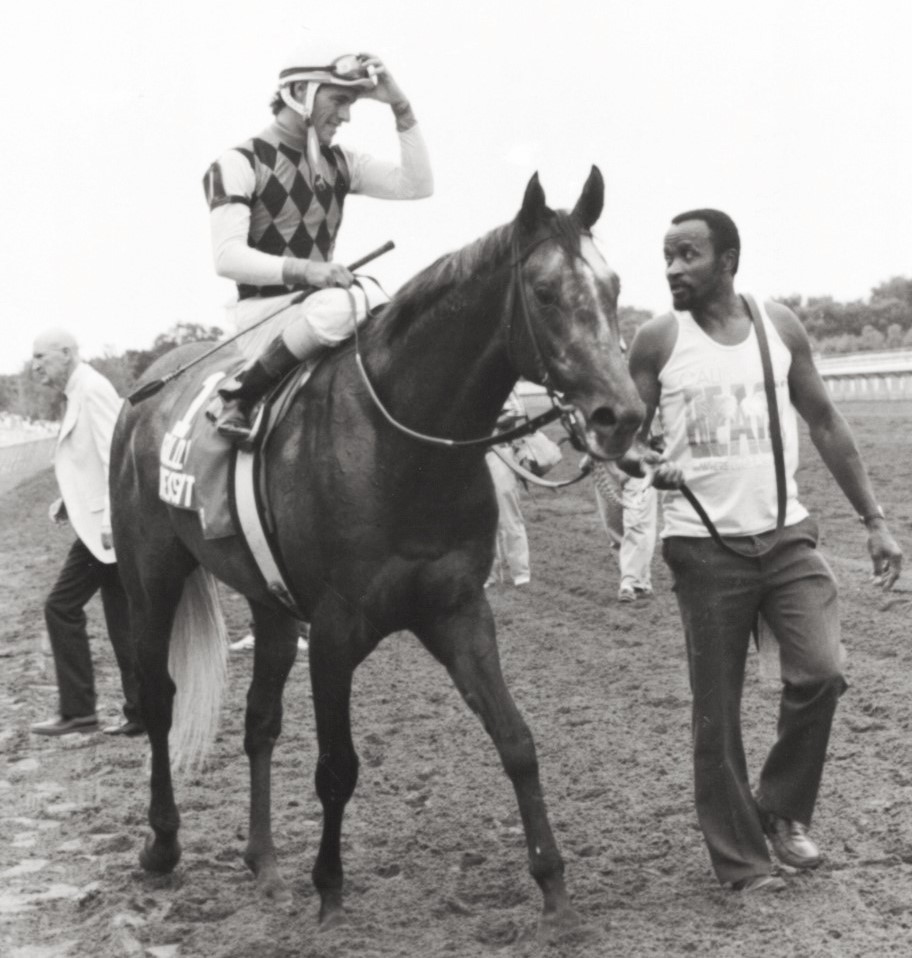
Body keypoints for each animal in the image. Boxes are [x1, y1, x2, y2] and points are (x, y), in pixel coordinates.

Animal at [110, 165, 644, 928]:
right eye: (544, 291)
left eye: (615, 287)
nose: (621, 416)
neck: (403, 447)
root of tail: (144, 393)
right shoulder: (336, 631)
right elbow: (338, 767)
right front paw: (330, 889)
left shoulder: (457, 611)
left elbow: (517, 740)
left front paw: (554, 889)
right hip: (150, 577)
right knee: (158, 700)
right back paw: (162, 846)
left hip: (269, 605)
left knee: (259, 722)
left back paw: (264, 863)